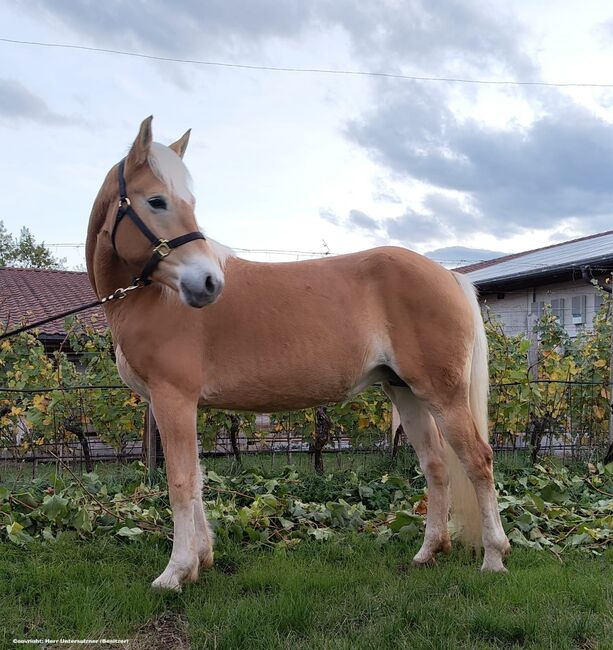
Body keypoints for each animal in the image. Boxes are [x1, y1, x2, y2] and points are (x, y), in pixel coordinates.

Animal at [85, 115, 506, 588]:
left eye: (186, 201)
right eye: (156, 201)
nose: (209, 283)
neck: (155, 297)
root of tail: (449, 276)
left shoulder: (173, 398)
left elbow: (180, 482)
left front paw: (175, 572)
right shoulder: (177, 405)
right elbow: (195, 479)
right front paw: (201, 560)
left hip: (442, 395)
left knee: (478, 460)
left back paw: (494, 556)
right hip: (406, 392)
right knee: (435, 465)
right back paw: (428, 551)